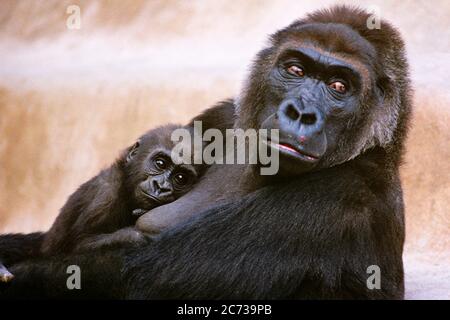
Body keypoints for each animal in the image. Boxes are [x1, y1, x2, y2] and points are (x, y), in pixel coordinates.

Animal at [0, 124, 200, 282]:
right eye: (160, 163)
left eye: (180, 178)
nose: (162, 187)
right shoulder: (105, 193)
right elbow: (80, 244)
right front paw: (135, 235)